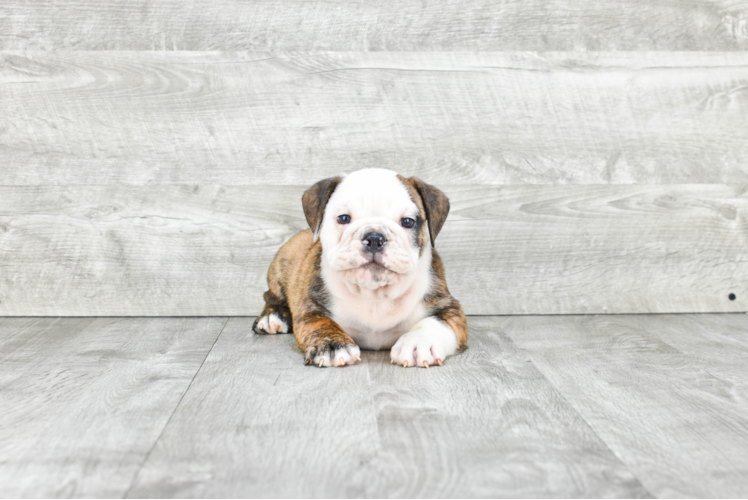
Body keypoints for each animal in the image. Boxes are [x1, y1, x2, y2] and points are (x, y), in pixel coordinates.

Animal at [251, 168, 468, 368]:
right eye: (344, 218)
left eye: (408, 221)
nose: (374, 238)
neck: (374, 294)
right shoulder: (311, 308)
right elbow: (320, 322)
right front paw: (332, 344)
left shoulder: (449, 308)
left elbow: (435, 322)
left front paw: (418, 343)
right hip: (280, 267)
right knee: (271, 297)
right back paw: (272, 317)